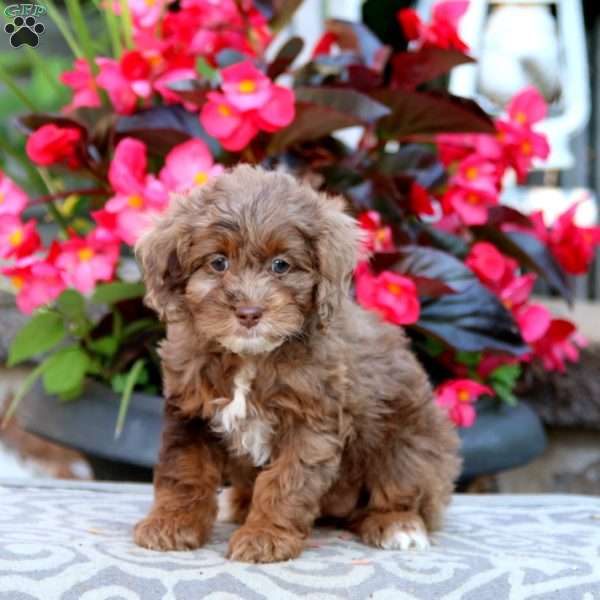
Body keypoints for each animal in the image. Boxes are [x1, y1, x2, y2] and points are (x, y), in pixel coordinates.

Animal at [132, 164, 460, 564]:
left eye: (281, 265)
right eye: (218, 263)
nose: (249, 313)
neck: (251, 357)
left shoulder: (310, 421)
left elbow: (286, 481)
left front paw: (264, 537)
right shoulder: (190, 412)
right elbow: (183, 470)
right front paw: (171, 523)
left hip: (411, 437)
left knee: (402, 484)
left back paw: (399, 525)